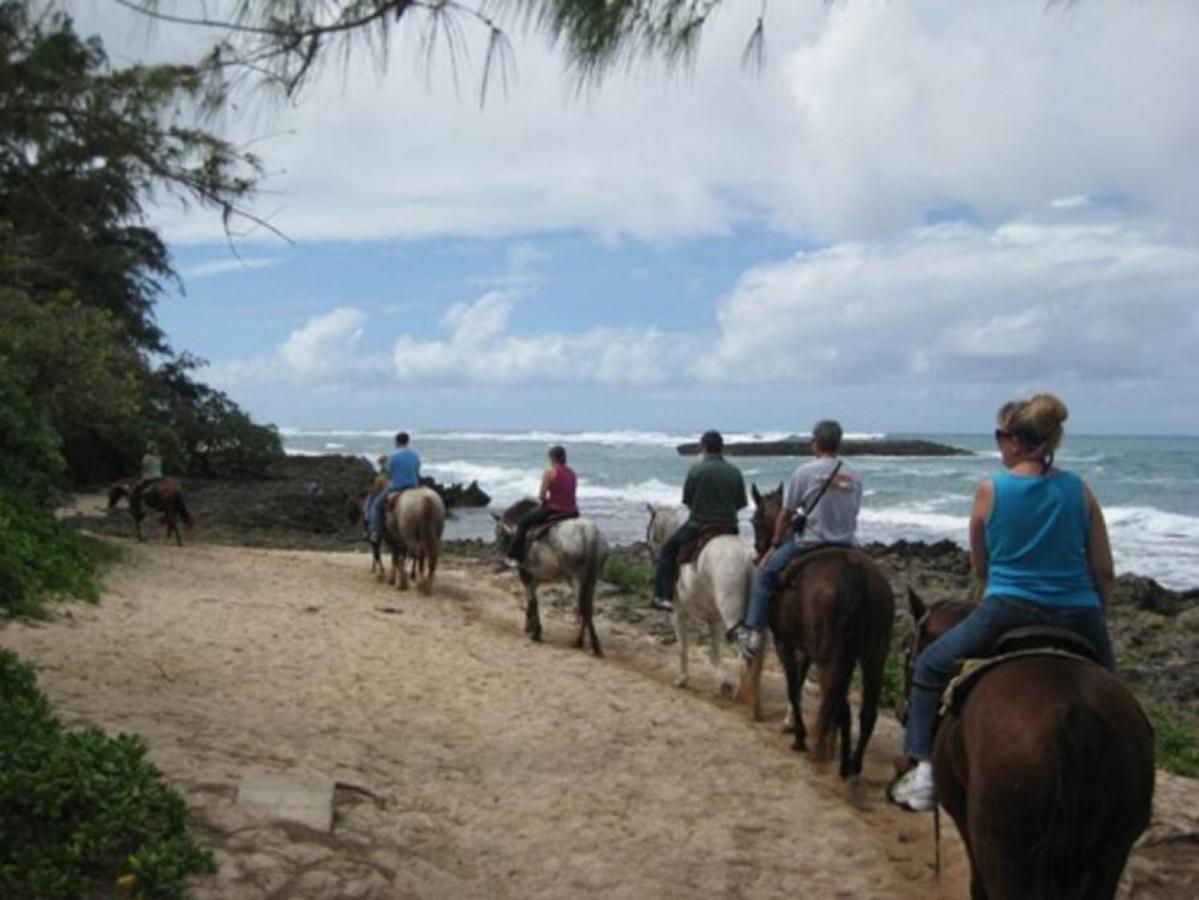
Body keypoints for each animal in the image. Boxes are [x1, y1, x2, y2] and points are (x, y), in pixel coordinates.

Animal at [493, 496, 609, 656]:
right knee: (586, 608)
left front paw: (536, 632)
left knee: (583, 608)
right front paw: (530, 627)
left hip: (578, 578)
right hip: (591, 579)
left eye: (497, 533)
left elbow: (533, 601)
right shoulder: (535, 578)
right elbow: (531, 601)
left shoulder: (526, 575)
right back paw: (586, 642)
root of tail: (590, 534)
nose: (501, 554)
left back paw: (583, 642)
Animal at [647, 503, 757, 709]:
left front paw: (683, 679)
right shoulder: (714, 620)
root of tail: (747, 557)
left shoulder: (679, 613)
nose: (653, 558)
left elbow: (683, 647)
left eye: (651, 535)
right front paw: (722, 683)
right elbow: (714, 654)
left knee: (744, 650)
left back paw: (741, 693)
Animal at [743, 481, 896, 776]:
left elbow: (793, 686)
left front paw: (800, 736)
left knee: (841, 706)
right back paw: (854, 764)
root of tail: (857, 574)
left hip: (831, 659)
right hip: (875, 656)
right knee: (866, 712)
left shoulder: (785, 642)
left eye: (754, 520)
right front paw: (794, 727)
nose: (759, 554)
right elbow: (800, 682)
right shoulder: (807, 648)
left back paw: (841, 763)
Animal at [901, 592, 1155, 900]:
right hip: (1112, 850)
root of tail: (1077, 710)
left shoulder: (962, 814)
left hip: (1000, 845)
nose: (902, 713)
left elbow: (977, 886)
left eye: (908, 649)